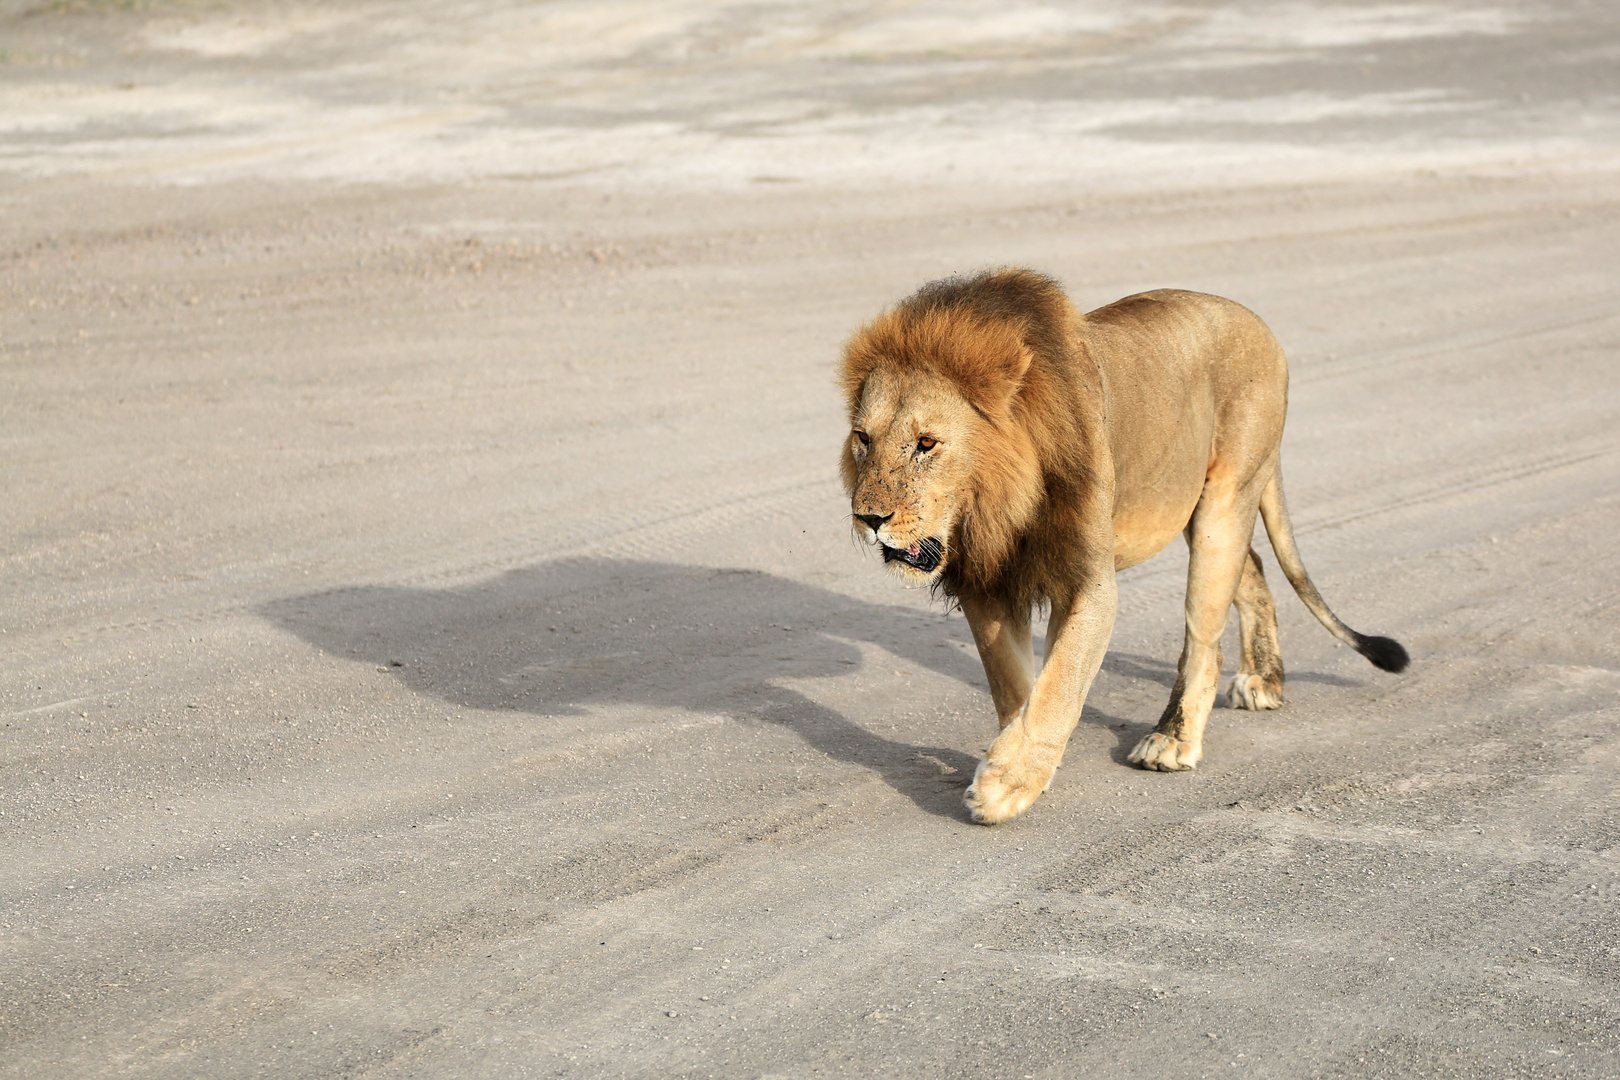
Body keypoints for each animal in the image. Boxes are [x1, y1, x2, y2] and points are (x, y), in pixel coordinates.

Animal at [842, 270, 1412, 829]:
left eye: (927, 444)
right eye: (863, 438)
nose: (869, 518)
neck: (996, 505)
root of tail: (1254, 319)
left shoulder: (1089, 582)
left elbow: (1059, 685)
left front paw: (1004, 785)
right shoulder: (987, 582)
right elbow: (1016, 685)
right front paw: (1021, 767)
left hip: (1225, 500)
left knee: (1204, 637)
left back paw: (1173, 738)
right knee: (1251, 569)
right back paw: (1264, 679)